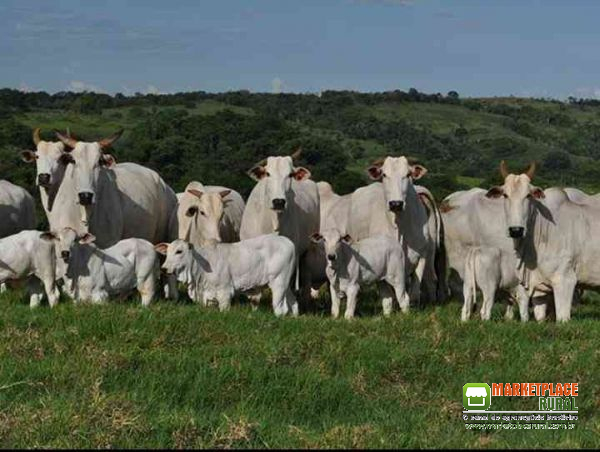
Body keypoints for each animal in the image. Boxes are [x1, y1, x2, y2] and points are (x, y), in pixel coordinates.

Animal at [156, 235, 298, 316]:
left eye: (179, 251)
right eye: (167, 252)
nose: (163, 268)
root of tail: (289, 242)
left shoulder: (224, 291)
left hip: (278, 283)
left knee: (280, 309)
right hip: (286, 285)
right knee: (294, 303)